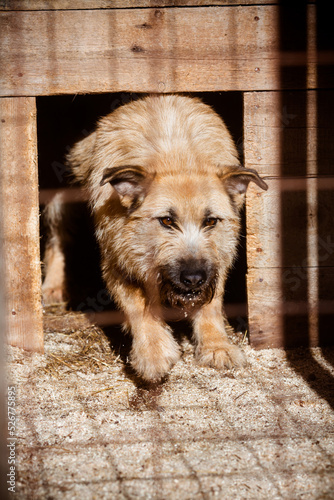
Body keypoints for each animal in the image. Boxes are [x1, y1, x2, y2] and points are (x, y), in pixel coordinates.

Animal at [43, 94, 268, 382]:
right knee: (57, 238)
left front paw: (216, 345)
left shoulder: (218, 259)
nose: (193, 278)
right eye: (167, 221)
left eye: (210, 221)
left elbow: (211, 303)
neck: (178, 159)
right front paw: (153, 352)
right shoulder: (118, 258)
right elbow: (139, 307)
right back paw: (52, 286)